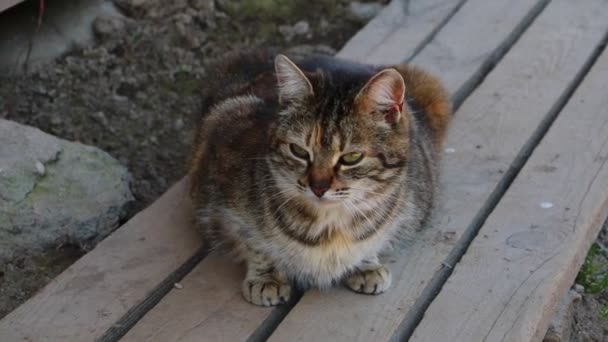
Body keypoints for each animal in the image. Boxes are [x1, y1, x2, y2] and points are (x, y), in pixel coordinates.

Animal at [190, 49, 452, 306]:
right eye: (298, 151)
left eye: (352, 157)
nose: (318, 187)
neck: (330, 227)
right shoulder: (217, 180)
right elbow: (252, 242)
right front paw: (267, 277)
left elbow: (374, 240)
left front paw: (366, 263)